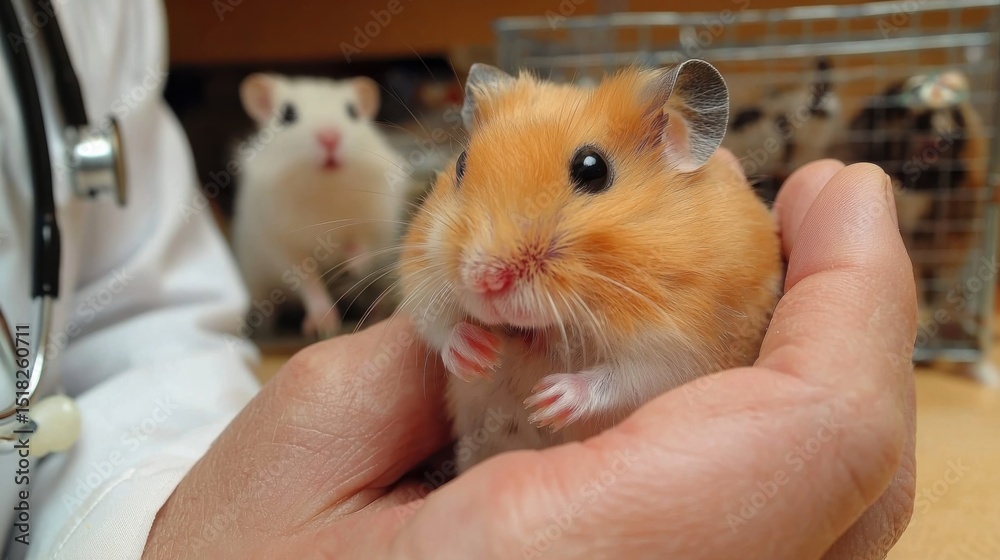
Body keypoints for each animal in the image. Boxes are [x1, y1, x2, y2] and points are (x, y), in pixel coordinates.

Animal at [231, 73, 407, 338]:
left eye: (352, 112)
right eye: (288, 115)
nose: (330, 138)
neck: (326, 187)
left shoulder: (375, 227)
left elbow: (363, 250)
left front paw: (349, 268)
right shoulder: (283, 249)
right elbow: (310, 284)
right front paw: (324, 325)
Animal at [399, 60, 783, 472]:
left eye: (592, 169)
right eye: (460, 164)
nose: (485, 282)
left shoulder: (680, 343)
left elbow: (630, 377)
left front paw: (546, 401)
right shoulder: (422, 277)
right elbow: (438, 326)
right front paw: (479, 354)